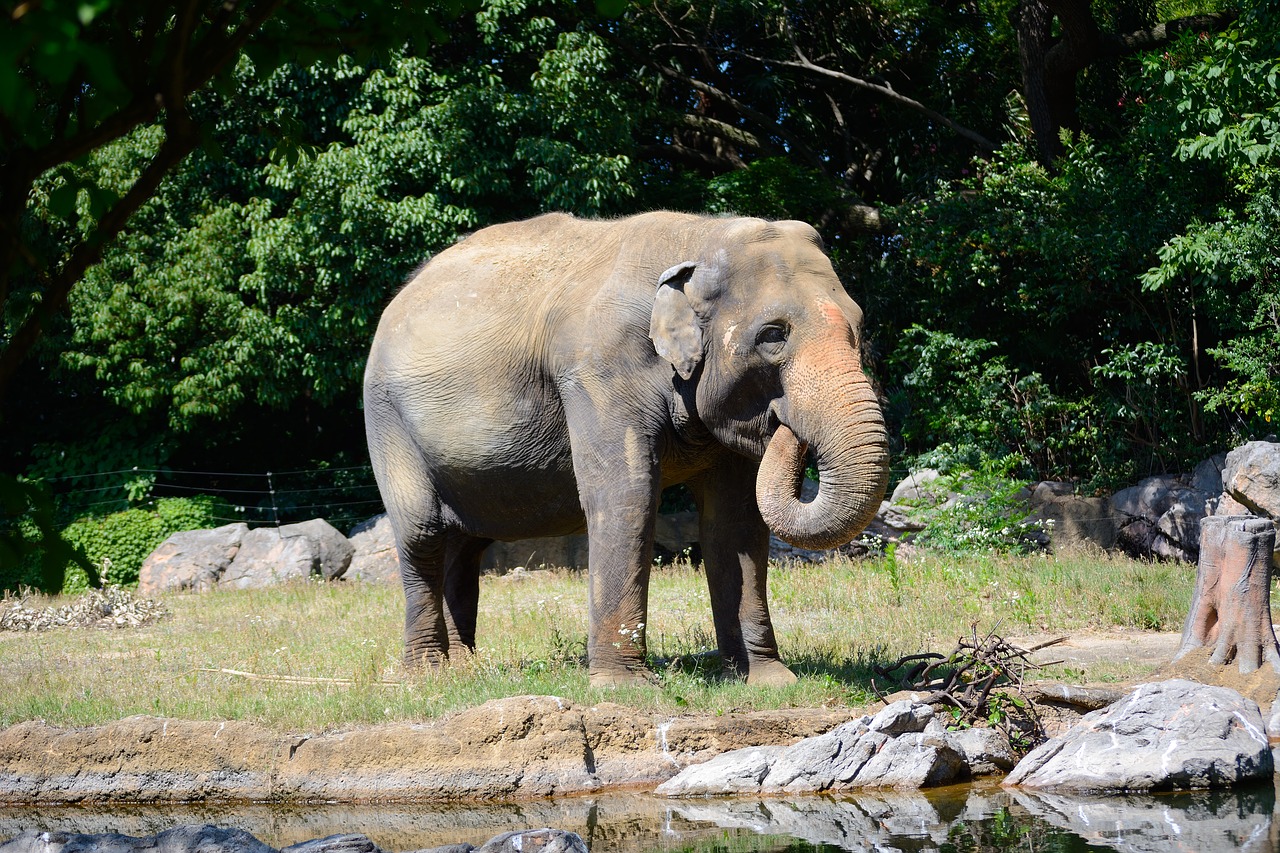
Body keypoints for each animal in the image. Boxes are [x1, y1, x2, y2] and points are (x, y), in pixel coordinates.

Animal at [363, 212, 890, 686]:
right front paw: (625, 687)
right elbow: (626, 496)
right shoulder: (599, 372)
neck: (701, 235)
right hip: (387, 423)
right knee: (422, 535)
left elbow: (735, 520)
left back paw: (466, 672)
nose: (787, 424)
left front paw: (769, 681)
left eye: (860, 327)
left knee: (464, 546)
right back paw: (428, 676)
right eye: (772, 335)